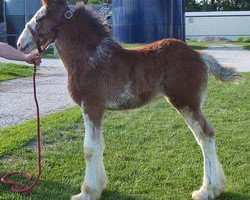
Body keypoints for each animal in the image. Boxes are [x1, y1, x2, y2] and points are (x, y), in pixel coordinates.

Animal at [16, 0, 242, 199]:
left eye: (40, 18)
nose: (20, 44)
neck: (90, 57)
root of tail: (199, 55)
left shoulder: (91, 105)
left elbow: (89, 148)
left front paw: (86, 193)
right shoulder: (98, 109)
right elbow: (99, 145)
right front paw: (99, 187)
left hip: (186, 102)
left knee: (205, 135)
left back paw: (207, 190)